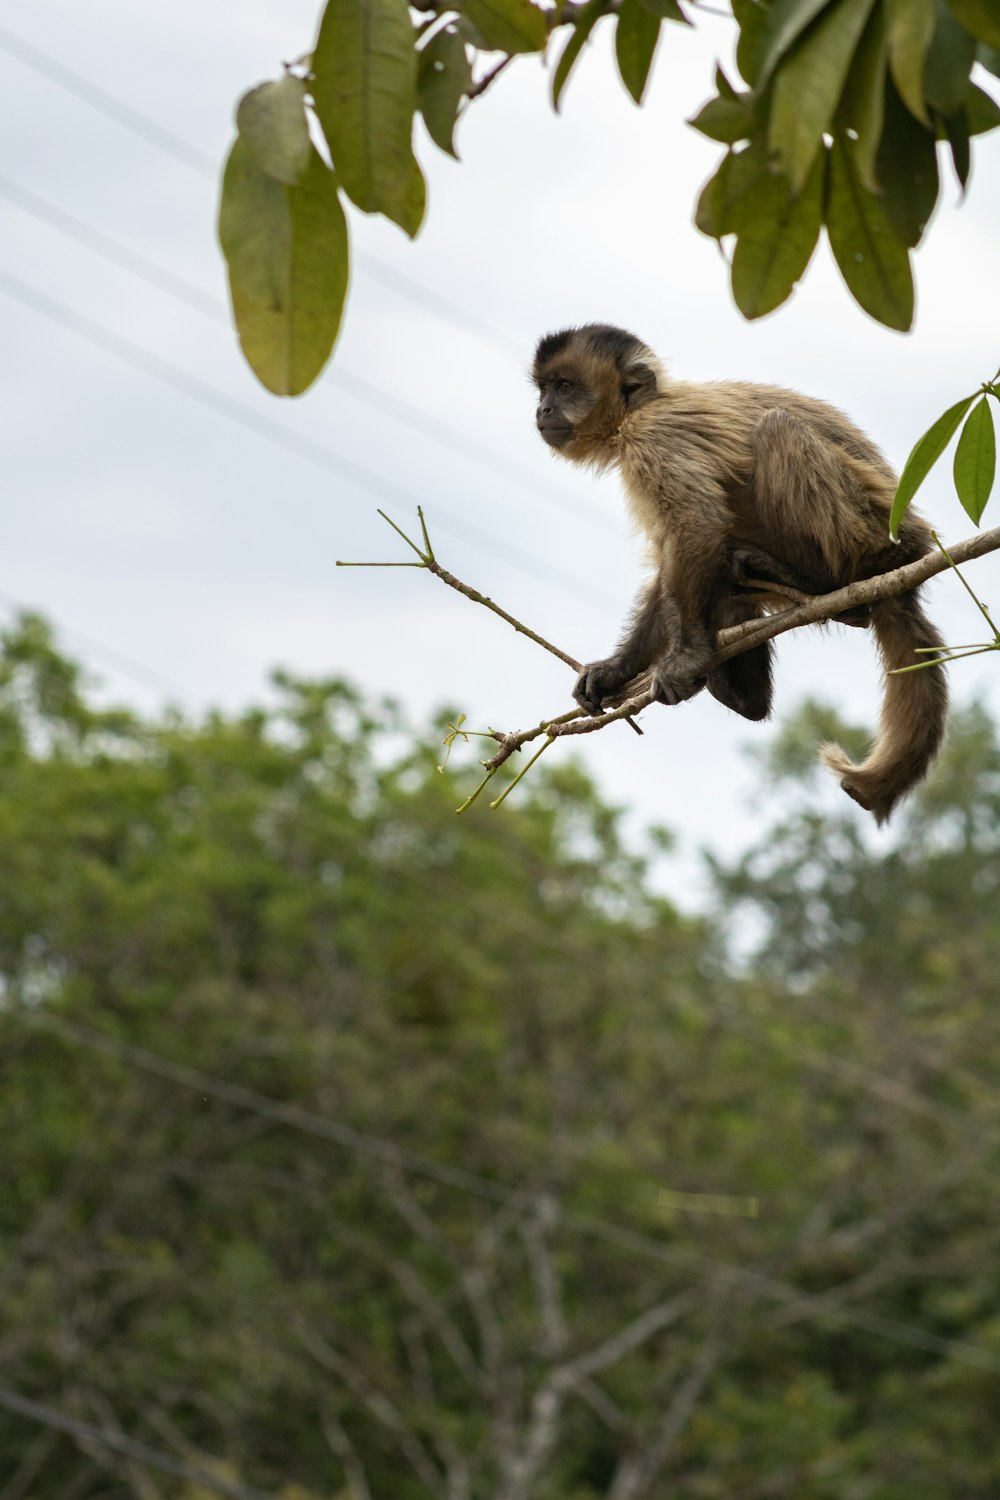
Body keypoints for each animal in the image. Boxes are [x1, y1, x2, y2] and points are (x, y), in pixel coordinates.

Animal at [530, 321, 947, 828]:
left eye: (565, 387)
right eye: (544, 389)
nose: (543, 409)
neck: (641, 408)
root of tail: (911, 553)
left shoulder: (653, 437)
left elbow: (698, 525)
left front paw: (687, 657)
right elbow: (671, 561)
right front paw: (616, 670)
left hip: (871, 533)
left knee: (776, 432)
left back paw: (820, 587)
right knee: (724, 570)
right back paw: (742, 690)